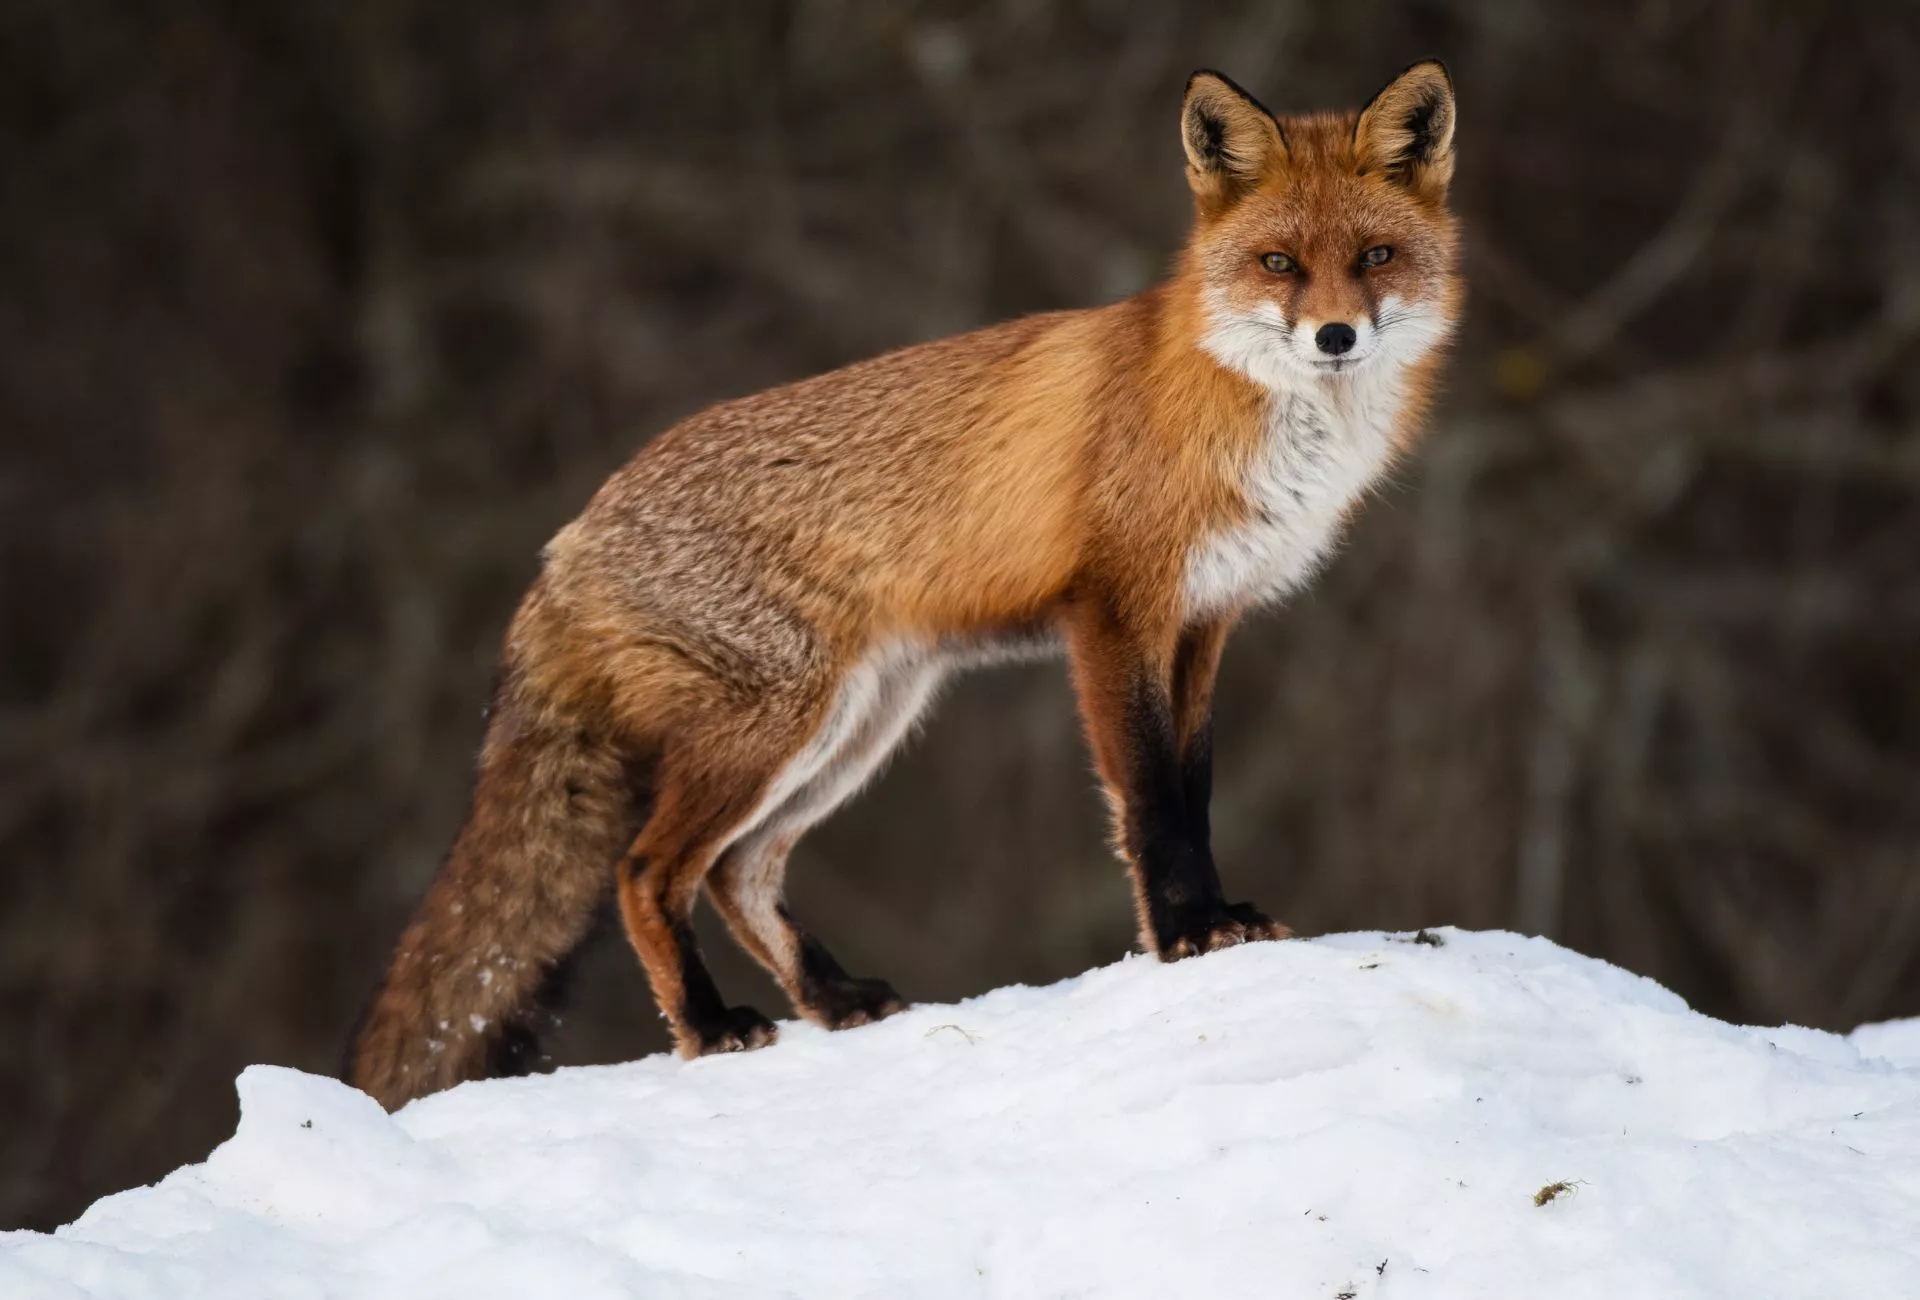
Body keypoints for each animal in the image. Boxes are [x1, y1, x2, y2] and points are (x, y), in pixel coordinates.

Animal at [348, 62, 1462, 1108]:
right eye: (1279, 264)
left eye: (1375, 257)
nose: (1334, 337)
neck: (1252, 416)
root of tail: (570, 536)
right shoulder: (1115, 615)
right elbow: (1150, 803)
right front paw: (1187, 934)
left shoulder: (1204, 621)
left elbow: (1195, 792)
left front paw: (1220, 920)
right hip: (776, 727)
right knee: (648, 872)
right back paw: (709, 1026)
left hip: (856, 726)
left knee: (741, 871)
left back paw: (835, 999)